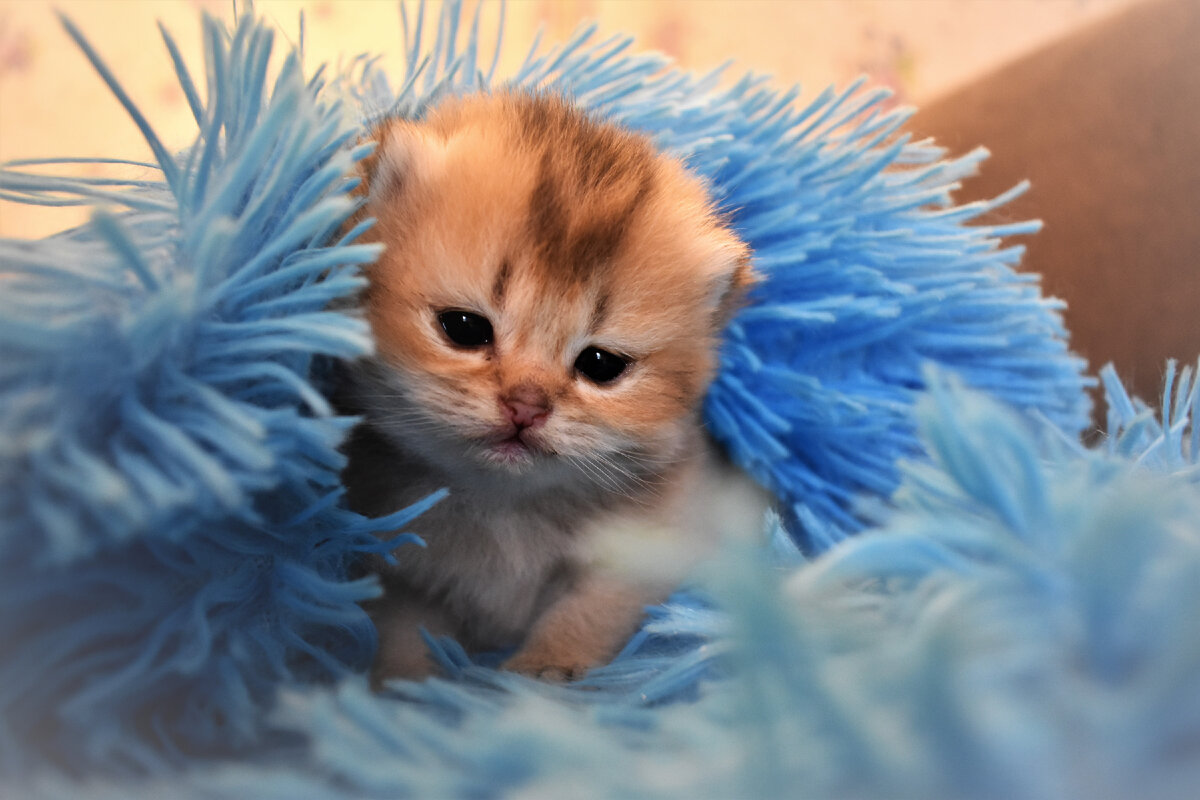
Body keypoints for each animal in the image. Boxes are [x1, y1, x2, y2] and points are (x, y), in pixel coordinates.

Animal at [338, 92, 753, 681]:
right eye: (464, 328)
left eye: (600, 364)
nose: (526, 406)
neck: (504, 505)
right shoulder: (396, 562)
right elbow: (405, 630)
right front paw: (406, 683)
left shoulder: (652, 545)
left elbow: (586, 613)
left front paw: (543, 670)